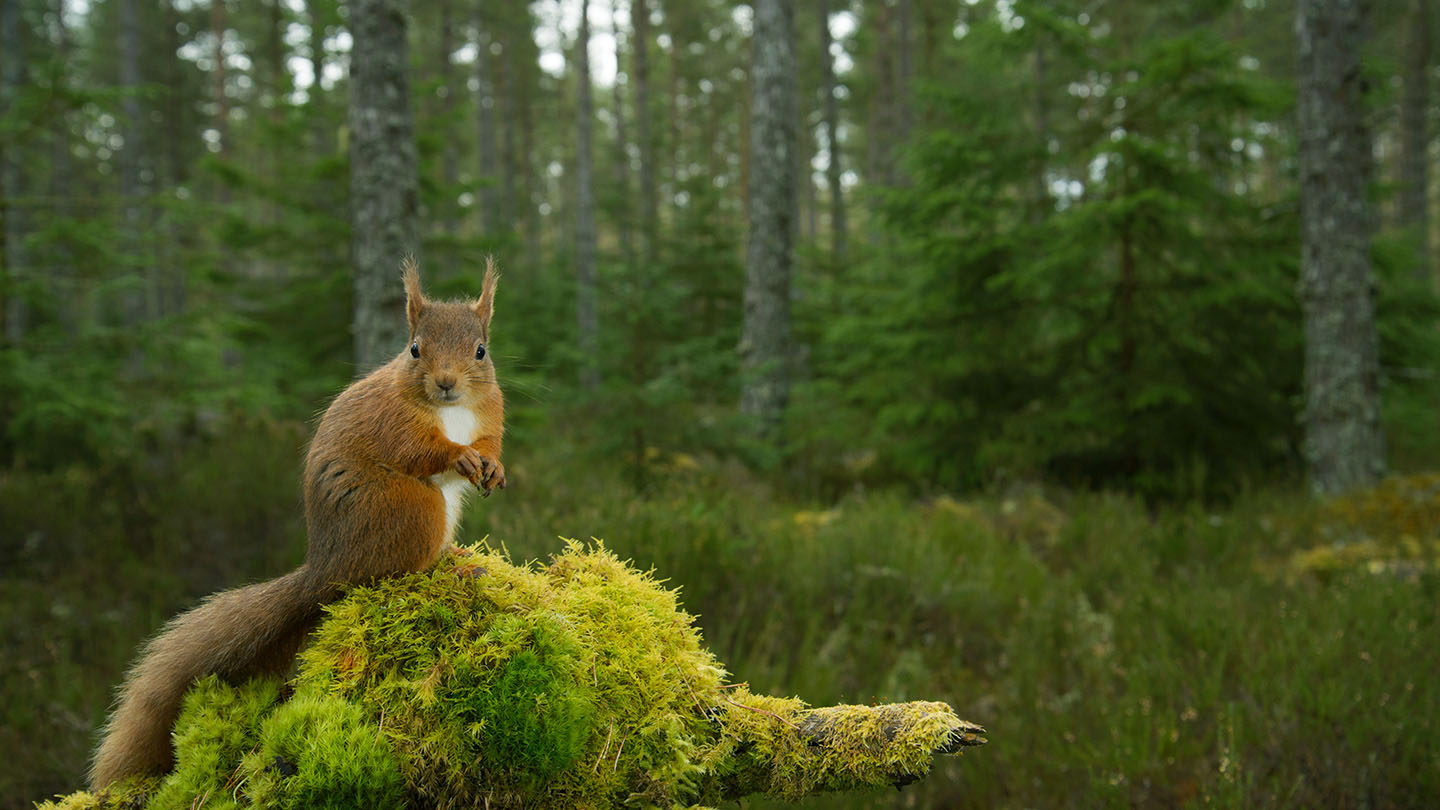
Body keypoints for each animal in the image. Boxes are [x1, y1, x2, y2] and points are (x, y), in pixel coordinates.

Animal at [89, 258, 506, 788]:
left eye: (481, 351)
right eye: (414, 348)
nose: (447, 383)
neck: (451, 412)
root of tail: (325, 567)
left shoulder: (489, 412)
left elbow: (490, 440)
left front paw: (491, 466)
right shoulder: (392, 423)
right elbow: (422, 450)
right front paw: (458, 456)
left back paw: (457, 555)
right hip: (414, 509)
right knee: (390, 572)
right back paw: (442, 569)